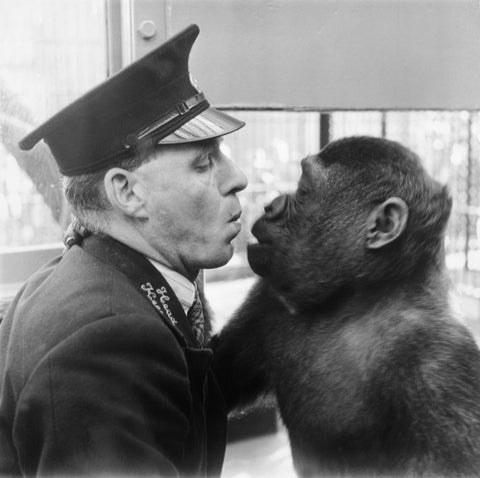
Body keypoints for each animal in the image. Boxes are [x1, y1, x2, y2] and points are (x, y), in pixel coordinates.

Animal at [212, 135, 480, 478]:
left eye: (303, 189)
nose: (270, 206)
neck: (355, 301)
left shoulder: (440, 361)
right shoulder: (269, 296)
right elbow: (216, 376)